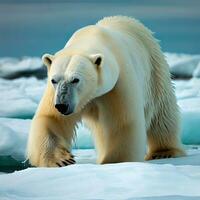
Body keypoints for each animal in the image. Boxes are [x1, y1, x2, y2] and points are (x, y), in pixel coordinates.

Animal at [26, 16, 184, 167]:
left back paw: (164, 152)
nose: (62, 105)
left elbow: (123, 123)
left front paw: (113, 162)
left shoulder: (118, 82)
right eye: (54, 80)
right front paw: (61, 160)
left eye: (75, 80)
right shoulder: (54, 93)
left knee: (161, 113)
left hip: (154, 69)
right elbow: (51, 119)